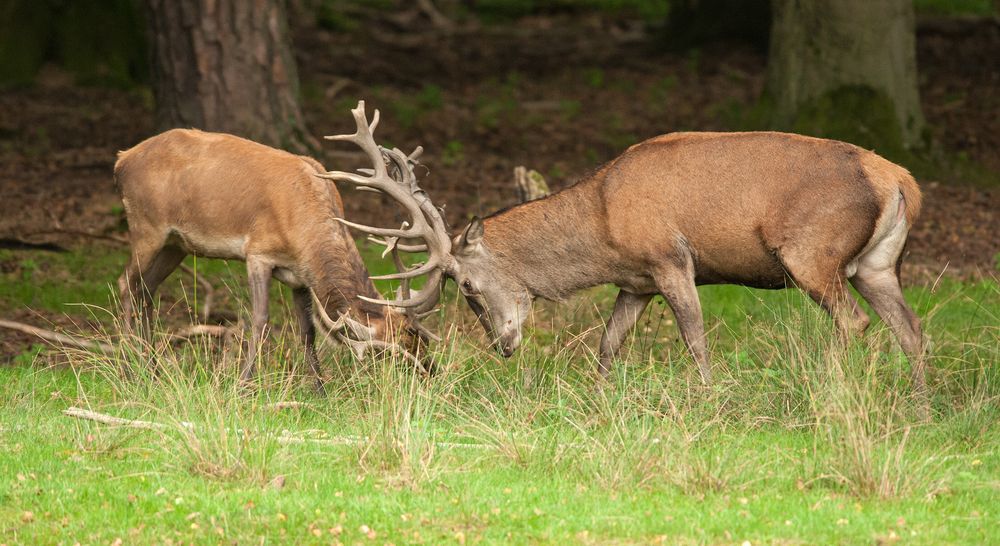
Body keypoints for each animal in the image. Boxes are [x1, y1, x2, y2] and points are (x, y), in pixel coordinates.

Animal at [113, 105, 434, 386]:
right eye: (402, 340)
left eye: (420, 337)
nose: (430, 371)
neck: (304, 231)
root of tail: (121, 160)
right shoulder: (258, 252)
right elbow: (260, 319)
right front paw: (243, 384)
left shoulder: (299, 277)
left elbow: (307, 331)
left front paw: (320, 389)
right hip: (146, 226)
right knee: (126, 283)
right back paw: (130, 371)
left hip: (176, 245)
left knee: (146, 289)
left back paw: (152, 369)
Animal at [334, 104, 928, 400]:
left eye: (469, 286)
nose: (503, 346)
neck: (603, 230)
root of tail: (901, 180)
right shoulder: (634, 284)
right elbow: (607, 344)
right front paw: (597, 399)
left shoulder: (670, 258)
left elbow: (694, 338)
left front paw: (708, 399)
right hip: (877, 264)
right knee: (912, 330)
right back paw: (920, 406)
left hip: (812, 253)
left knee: (855, 322)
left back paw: (833, 389)